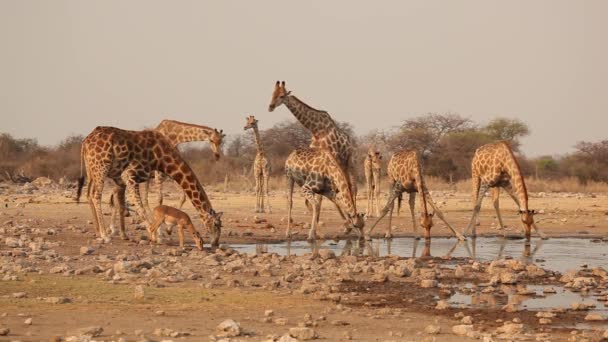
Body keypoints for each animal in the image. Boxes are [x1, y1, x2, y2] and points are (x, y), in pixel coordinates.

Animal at [75, 125, 223, 246]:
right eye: (216, 224)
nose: (215, 243)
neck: (162, 158)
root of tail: (85, 142)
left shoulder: (140, 178)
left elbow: (132, 204)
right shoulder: (130, 175)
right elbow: (142, 207)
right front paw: (156, 234)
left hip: (91, 169)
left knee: (89, 194)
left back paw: (98, 232)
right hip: (101, 167)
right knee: (96, 195)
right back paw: (105, 236)